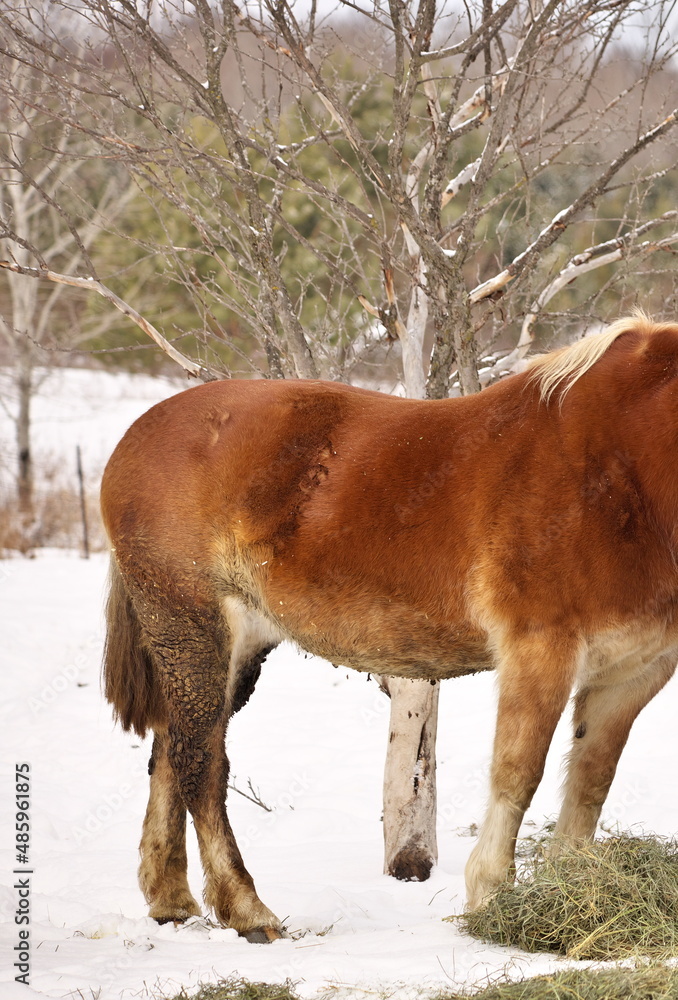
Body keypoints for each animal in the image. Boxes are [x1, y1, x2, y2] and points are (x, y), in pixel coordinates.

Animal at [101, 312, 678, 942]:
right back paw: (248, 910)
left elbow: (592, 779)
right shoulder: (540, 651)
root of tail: (135, 437)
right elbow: (518, 773)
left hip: (232, 646)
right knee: (200, 763)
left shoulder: (635, 672)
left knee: (171, 750)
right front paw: (491, 894)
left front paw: (574, 888)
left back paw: (172, 901)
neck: (623, 466)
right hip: (192, 626)